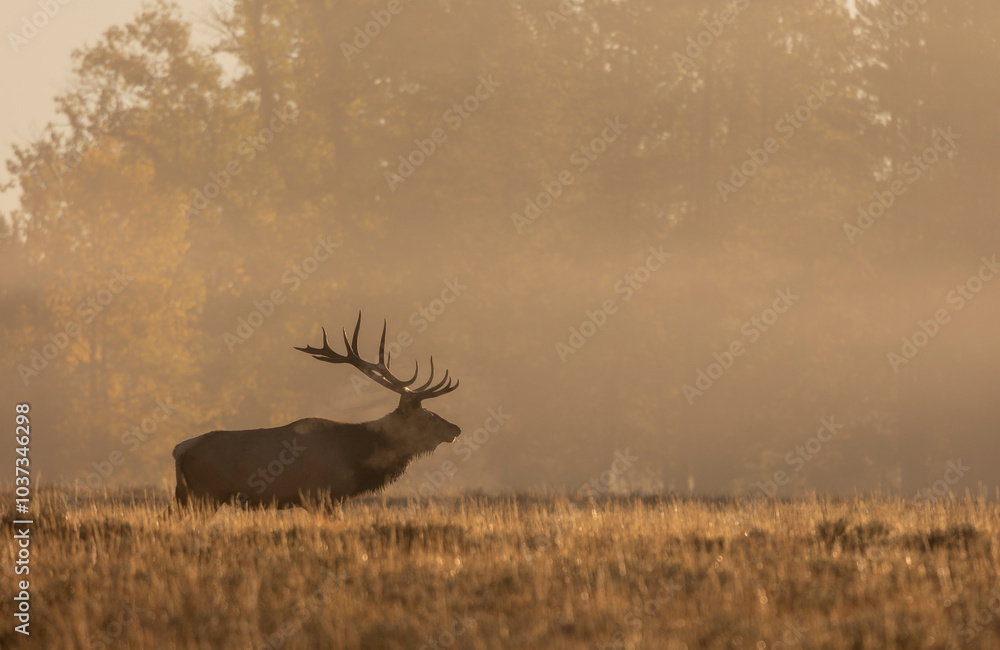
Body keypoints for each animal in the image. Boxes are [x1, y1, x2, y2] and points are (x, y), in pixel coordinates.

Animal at [172, 313, 460, 508]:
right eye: (427, 416)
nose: (456, 429)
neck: (357, 455)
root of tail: (180, 450)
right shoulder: (320, 495)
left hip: (187, 496)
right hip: (204, 494)